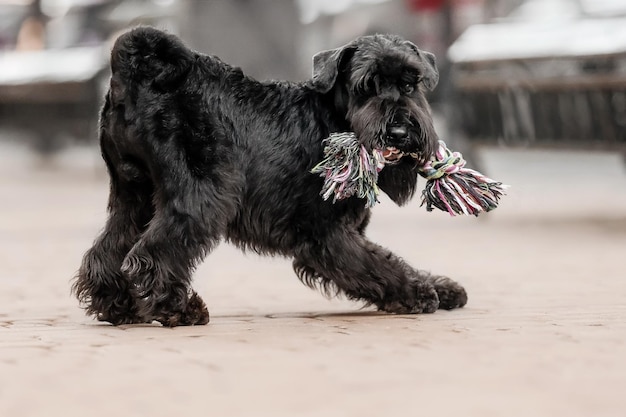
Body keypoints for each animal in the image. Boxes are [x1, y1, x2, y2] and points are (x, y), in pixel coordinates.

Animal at [72, 26, 464, 326]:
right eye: (367, 85)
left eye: (411, 85)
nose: (399, 132)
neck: (334, 119)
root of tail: (134, 75)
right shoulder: (327, 234)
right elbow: (376, 264)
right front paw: (417, 292)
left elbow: (384, 259)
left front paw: (443, 288)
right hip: (200, 200)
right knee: (150, 256)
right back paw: (180, 309)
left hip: (135, 196)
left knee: (109, 250)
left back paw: (117, 306)